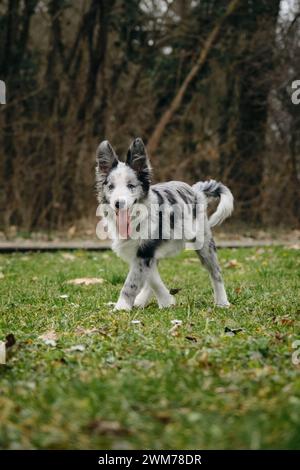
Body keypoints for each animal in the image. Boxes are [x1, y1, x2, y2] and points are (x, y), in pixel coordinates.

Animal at [96, 138, 234, 310]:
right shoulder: (142, 251)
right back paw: (142, 301)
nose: (118, 203)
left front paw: (121, 307)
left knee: (216, 272)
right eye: (111, 187)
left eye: (131, 186)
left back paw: (222, 301)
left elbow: (132, 281)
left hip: (204, 243)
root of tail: (196, 190)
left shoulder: (145, 251)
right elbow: (151, 277)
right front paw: (166, 300)